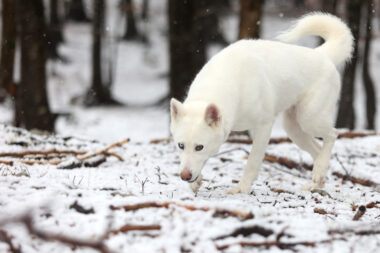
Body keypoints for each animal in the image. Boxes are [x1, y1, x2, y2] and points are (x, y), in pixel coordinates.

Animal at [169, 13, 354, 194]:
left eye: (199, 147)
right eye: (181, 145)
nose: (184, 176)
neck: (221, 82)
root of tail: (322, 55)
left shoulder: (263, 127)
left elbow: (252, 162)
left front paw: (242, 189)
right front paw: (196, 182)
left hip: (309, 119)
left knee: (333, 134)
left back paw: (319, 171)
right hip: (293, 129)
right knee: (317, 150)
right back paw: (317, 180)